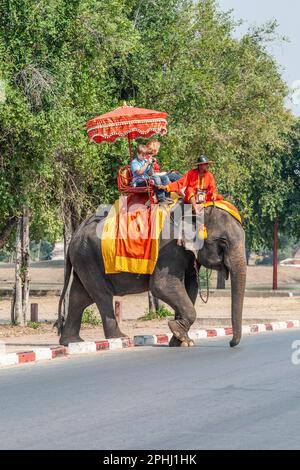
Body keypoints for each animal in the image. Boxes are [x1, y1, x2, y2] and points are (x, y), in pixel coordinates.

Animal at [55, 200, 246, 346]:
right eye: (223, 242)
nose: (230, 343)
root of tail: (74, 236)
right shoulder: (168, 249)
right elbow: (162, 286)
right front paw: (180, 335)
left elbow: (189, 287)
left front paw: (181, 340)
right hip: (89, 259)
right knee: (102, 296)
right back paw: (120, 338)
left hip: (84, 260)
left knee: (80, 297)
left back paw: (72, 342)